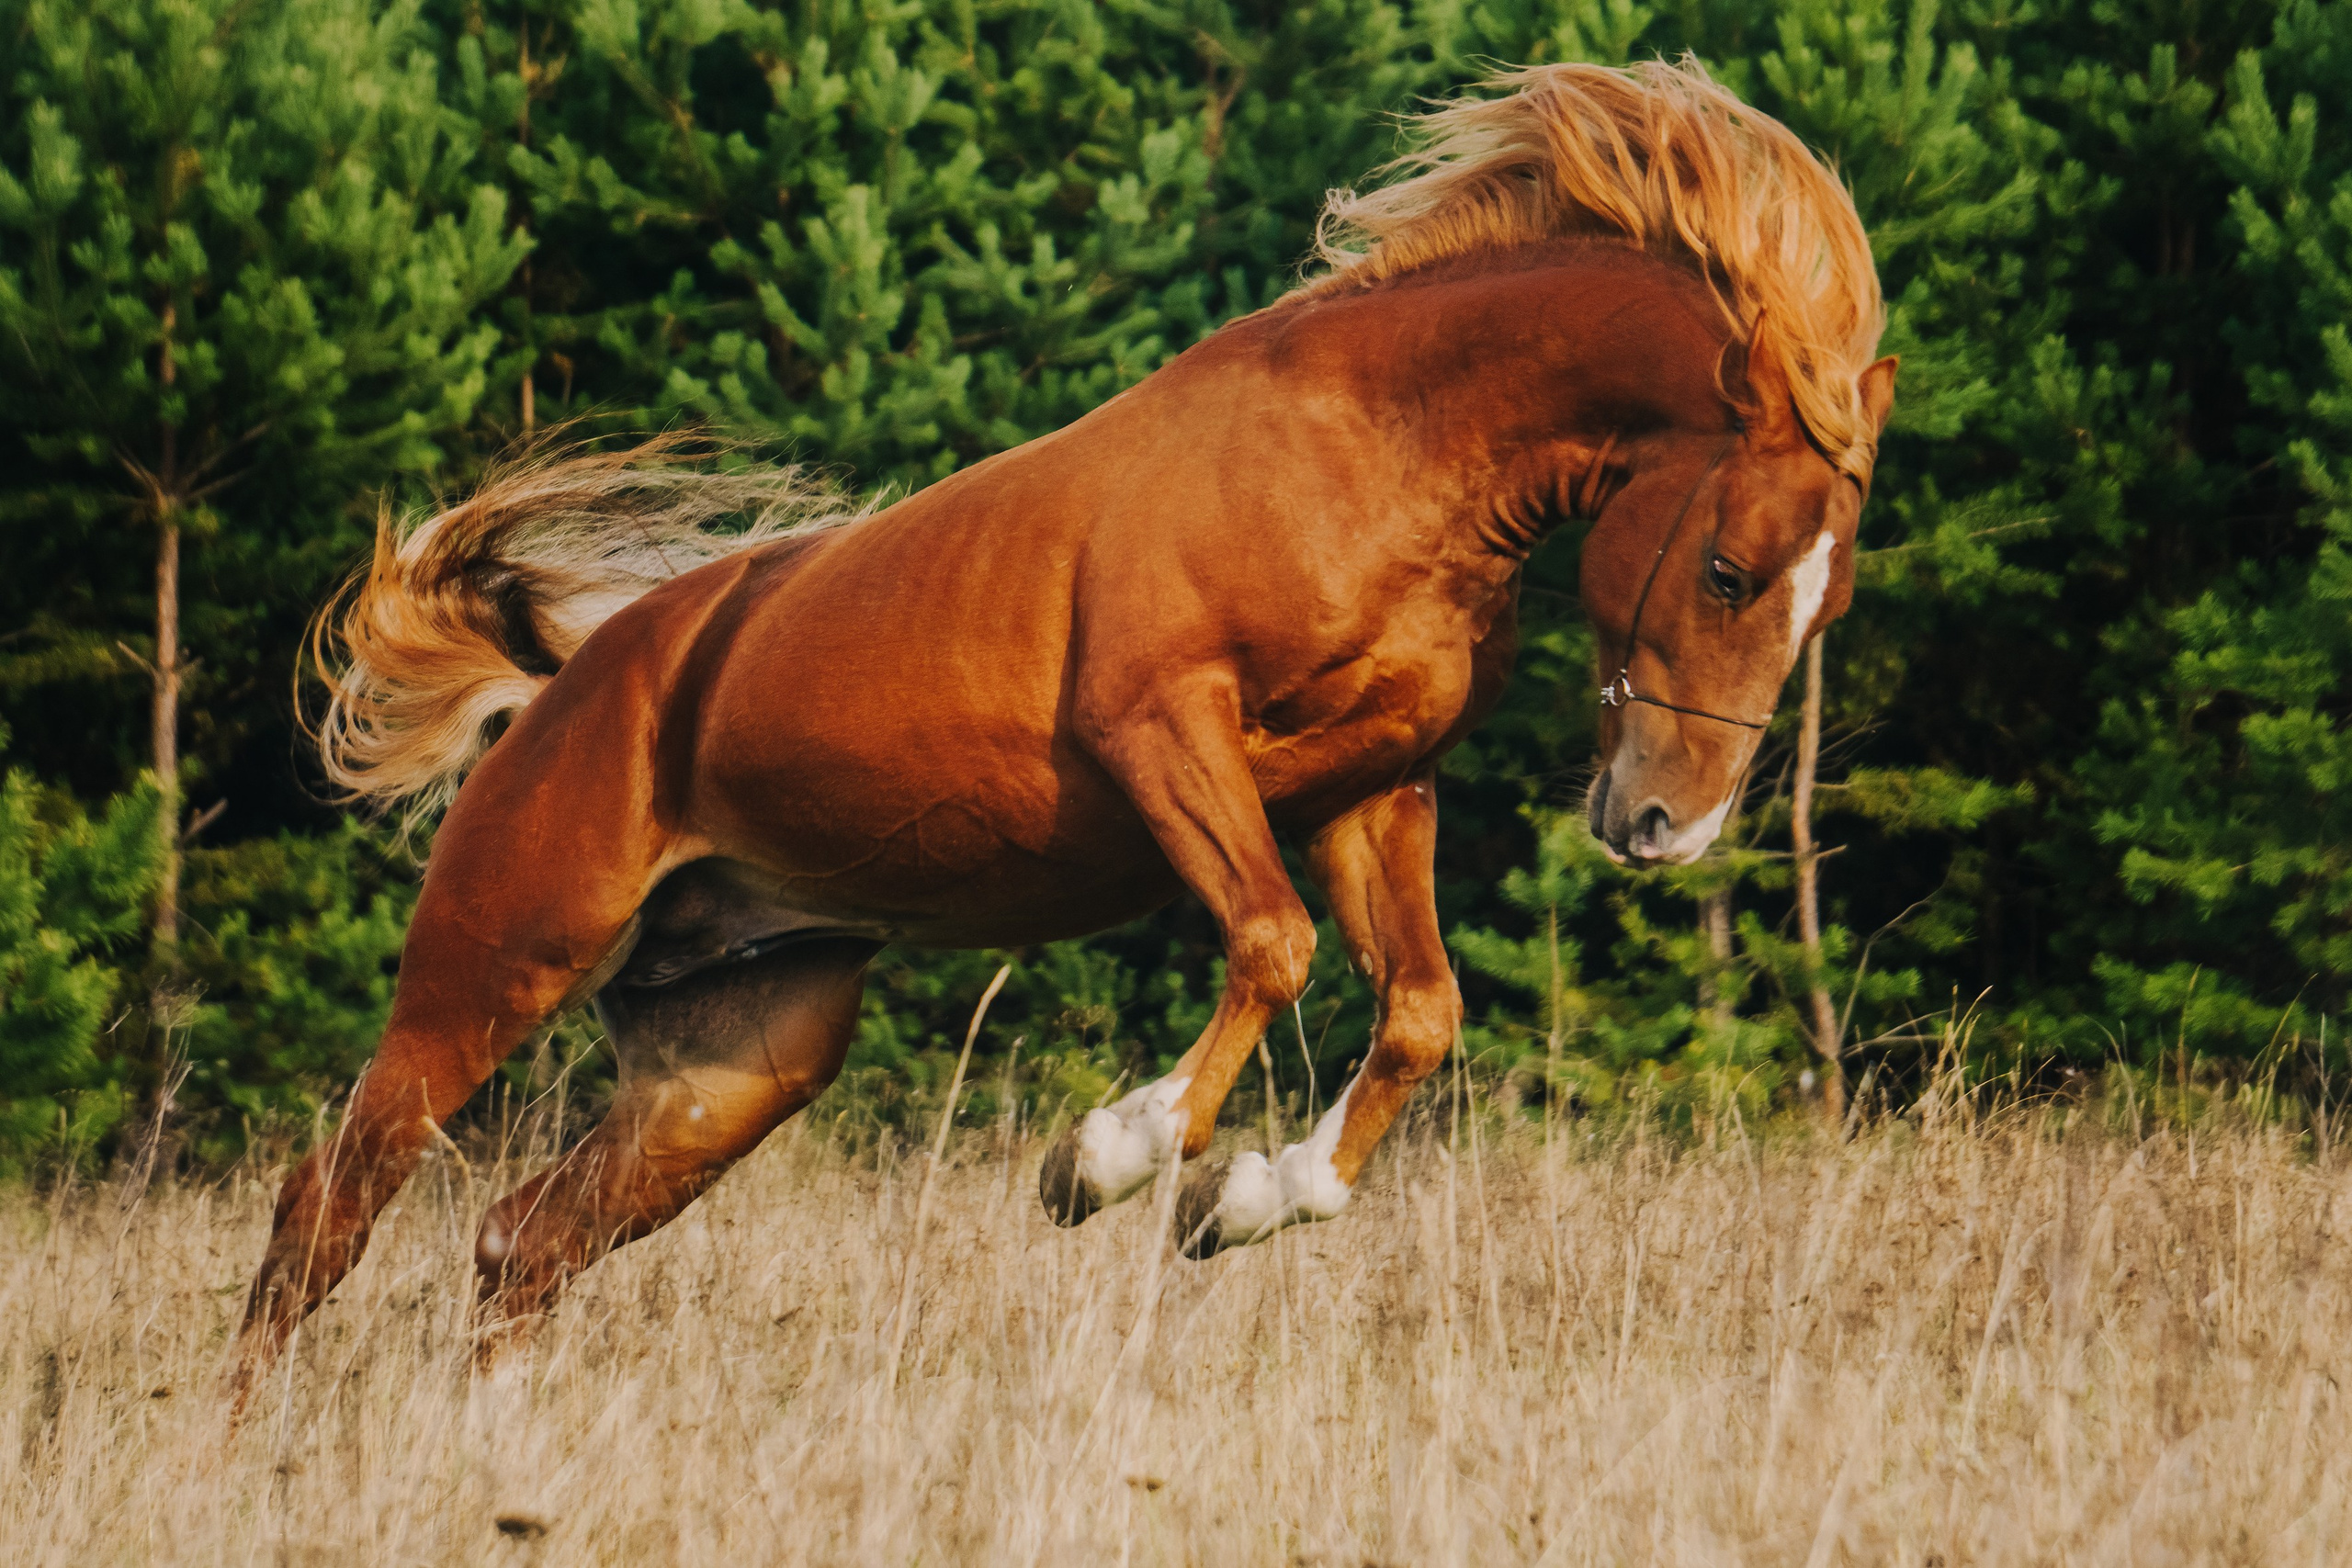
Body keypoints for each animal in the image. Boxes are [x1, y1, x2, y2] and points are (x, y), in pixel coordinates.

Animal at [232, 58, 1896, 1384]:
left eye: (1825, 608)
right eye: (1733, 567)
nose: (1667, 825)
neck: (1379, 449)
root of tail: (557, 692)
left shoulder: (1373, 793)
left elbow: (1419, 1009)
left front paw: (1255, 1197)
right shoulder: (1158, 730)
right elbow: (1272, 942)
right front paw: (1112, 1156)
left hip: (732, 1064)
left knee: (522, 1243)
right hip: (490, 972)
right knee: (329, 1204)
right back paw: (257, 1437)